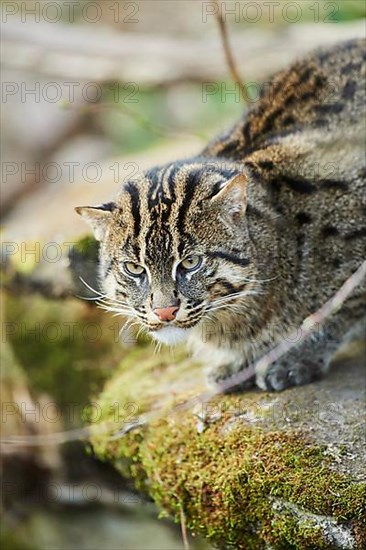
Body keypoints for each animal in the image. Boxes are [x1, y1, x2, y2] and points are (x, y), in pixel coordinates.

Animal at [76, 40, 364, 392]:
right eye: (134, 268)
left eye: (190, 263)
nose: (164, 312)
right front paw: (242, 362)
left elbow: (340, 309)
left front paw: (298, 355)